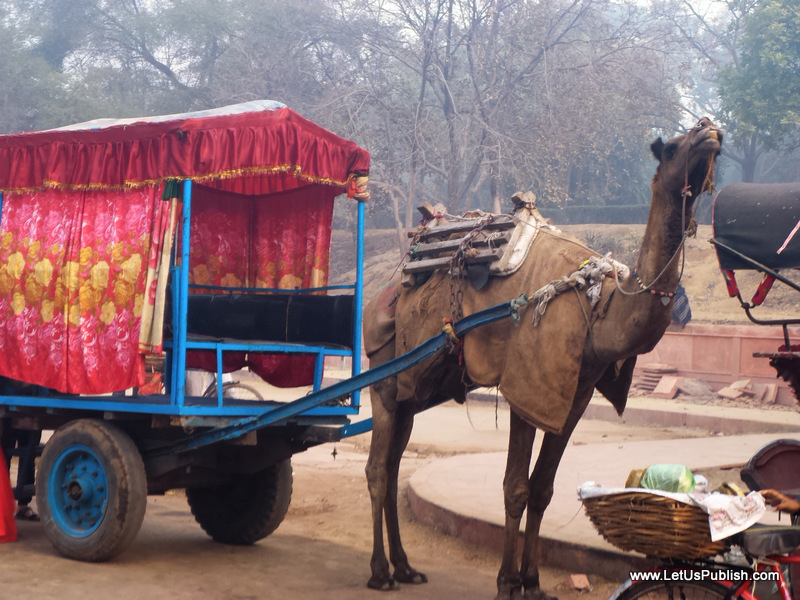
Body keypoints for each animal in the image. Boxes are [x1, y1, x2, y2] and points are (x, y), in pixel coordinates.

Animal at [362, 118, 724, 600]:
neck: (598, 307)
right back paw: (380, 571)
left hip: (416, 390)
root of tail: (382, 292)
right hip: (384, 372)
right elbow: (515, 487)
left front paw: (532, 582)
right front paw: (505, 582)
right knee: (377, 468)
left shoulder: (575, 394)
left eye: (705, 135)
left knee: (394, 459)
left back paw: (405, 567)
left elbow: (543, 489)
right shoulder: (528, 382)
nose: (708, 130)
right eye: (670, 148)